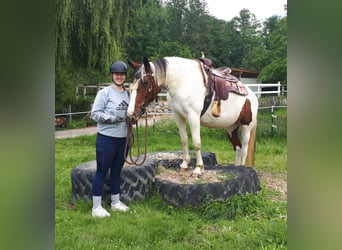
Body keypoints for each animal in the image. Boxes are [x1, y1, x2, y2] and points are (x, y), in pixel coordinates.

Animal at [127, 55, 258, 177]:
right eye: (132, 82)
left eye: (145, 82)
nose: (130, 114)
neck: (182, 82)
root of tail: (252, 95)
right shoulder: (178, 116)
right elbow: (184, 139)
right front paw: (184, 165)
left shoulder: (193, 116)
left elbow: (196, 142)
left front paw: (198, 169)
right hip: (231, 128)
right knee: (238, 148)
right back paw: (237, 167)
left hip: (246, 127)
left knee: (244, 149)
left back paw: (242, 167)